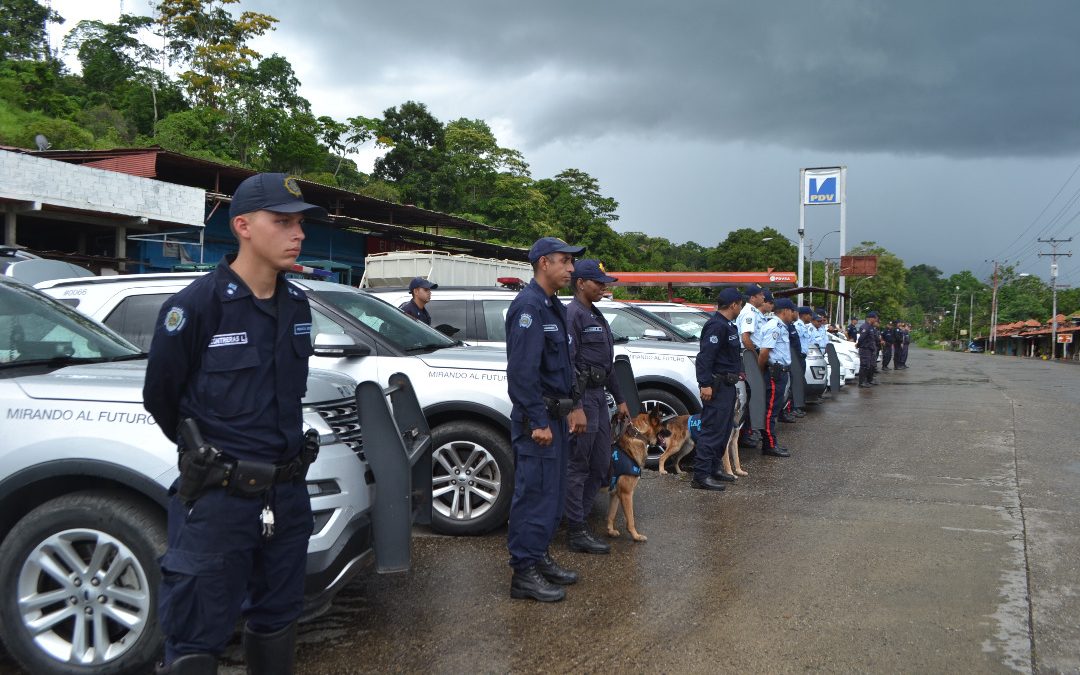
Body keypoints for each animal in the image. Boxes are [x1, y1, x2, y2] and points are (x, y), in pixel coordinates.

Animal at [609, 408, 665, 540]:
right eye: (662, 424)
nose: (671, 433)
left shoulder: (615, 494)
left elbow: (611, 515)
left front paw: (610, 530)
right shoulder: (627, 494)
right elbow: (630, 519)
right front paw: (636, 536)